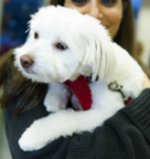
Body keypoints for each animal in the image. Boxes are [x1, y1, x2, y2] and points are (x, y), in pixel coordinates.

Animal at [14, 5, 146, 152]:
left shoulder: (105, 111)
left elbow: (67, 119)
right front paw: (55, 97)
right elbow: (61, 82)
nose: (24, 60)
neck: (85, 78)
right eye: (36, 35)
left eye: (61, 46)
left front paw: (34, 135)